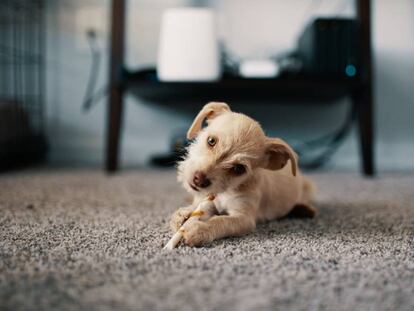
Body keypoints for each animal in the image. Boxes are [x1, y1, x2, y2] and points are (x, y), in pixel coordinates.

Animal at [170, 103, 316, 247]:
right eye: (211, 141)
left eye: (238, 169)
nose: (199, 180)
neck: (227, 191)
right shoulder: (209, 202)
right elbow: (198, 208)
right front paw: (184, 214)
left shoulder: (244, 219)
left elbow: (221, 221)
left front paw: (199, 229)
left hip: (308, 188)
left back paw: (304, 209)